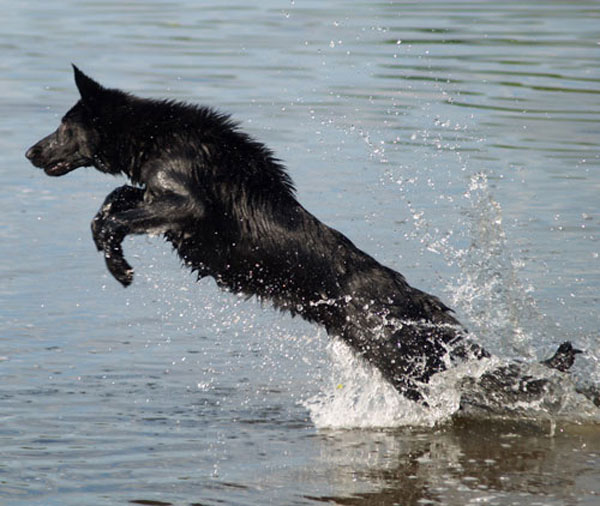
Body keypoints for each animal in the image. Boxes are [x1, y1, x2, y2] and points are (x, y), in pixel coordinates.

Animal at [24, 66, 580, 404]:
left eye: (64, 126)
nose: (29, 152)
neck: (155, 132)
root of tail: (425, 305)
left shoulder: (186, 202)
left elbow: (111, 216)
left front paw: (118, 266)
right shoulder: (153, 194)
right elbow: (112, 201)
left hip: (406, 365)